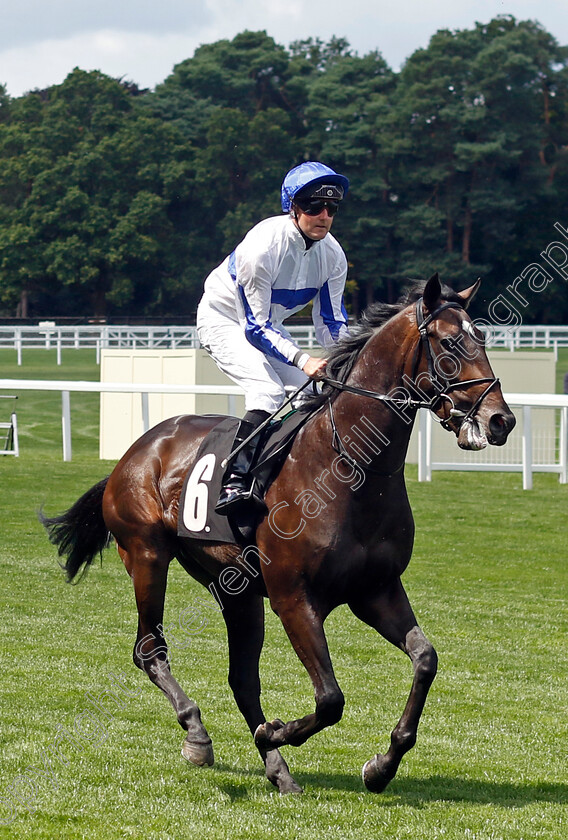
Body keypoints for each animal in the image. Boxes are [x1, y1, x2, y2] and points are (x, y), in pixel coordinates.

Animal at [43, 274, 516, 796]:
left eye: (484, 338)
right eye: (450, 342)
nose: (501, 420)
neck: (350, 469)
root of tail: (137, 450)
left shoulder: (376, 590)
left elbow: (425, 660)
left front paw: (381, 765)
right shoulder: (294, 597)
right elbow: (330, 697)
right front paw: (277, 732)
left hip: (236, 590)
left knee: (242, 679)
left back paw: (277, 769)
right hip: (146, 555)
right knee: (150, 650)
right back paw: (198, 734)